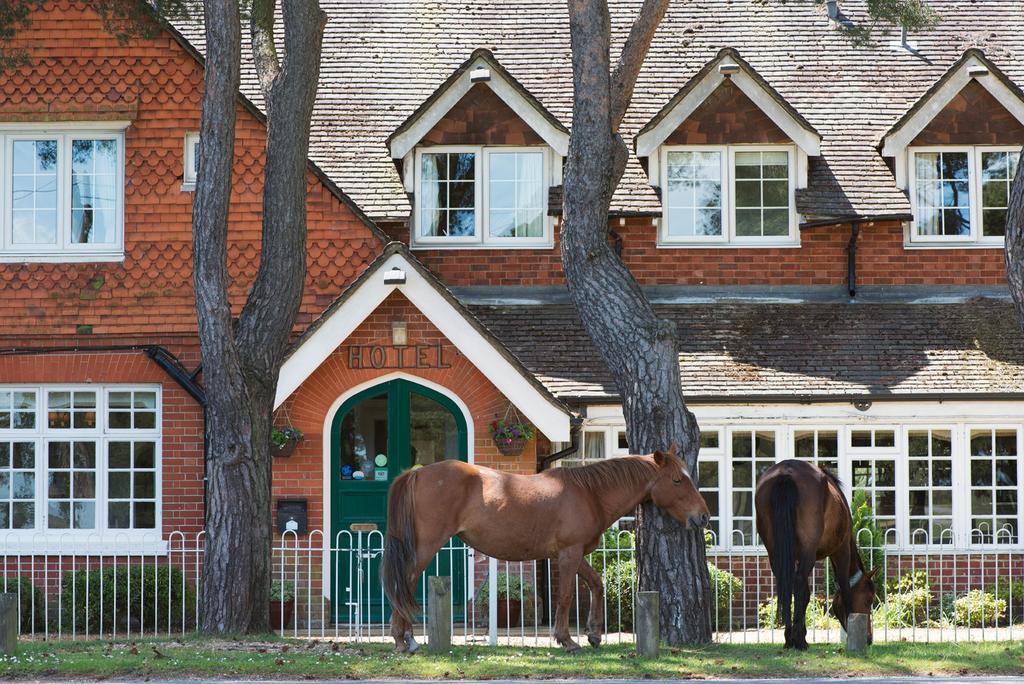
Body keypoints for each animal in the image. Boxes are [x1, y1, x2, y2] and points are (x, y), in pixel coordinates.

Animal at [380, 444, 708, 651]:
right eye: (677, 480)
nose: (703, 516)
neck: (590, 493)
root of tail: (418, 473)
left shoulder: (574, 554)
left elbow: (597, 584)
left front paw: (593, 634)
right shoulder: (568, 554)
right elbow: (565, 596)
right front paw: (567, 640)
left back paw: (406, 638)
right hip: (425, 547)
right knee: (404, 583)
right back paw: (403, 640)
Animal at [757, 456, 876, 651]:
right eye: (868, 600)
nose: (869, 638)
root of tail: (786, 472)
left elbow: (804, 594)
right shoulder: (841, 550)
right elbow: (844, 587)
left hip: (775, 552)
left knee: (787, 583)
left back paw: (789, 638)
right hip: (809, 551)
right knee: (798, 582)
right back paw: (798, 641)